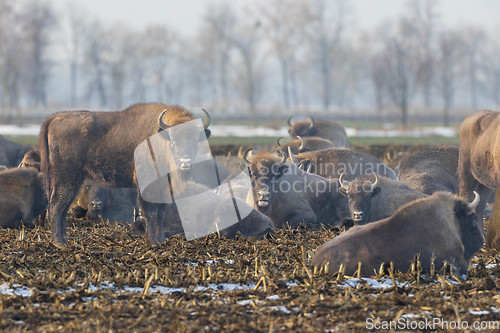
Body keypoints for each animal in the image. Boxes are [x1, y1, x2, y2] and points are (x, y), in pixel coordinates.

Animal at [39, 104, 211, 246]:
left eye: (195, 140)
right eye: (174, 141)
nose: (185, 162)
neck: (160, 139)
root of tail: (56, 118)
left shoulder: (164, 188)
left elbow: (161, 214)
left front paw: (162, 240)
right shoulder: (147, 187)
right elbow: (151, 213)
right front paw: (153, 242)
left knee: (63, 208)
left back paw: (64, 241)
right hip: (66, 178)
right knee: (56, 206)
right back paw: (58, 243)